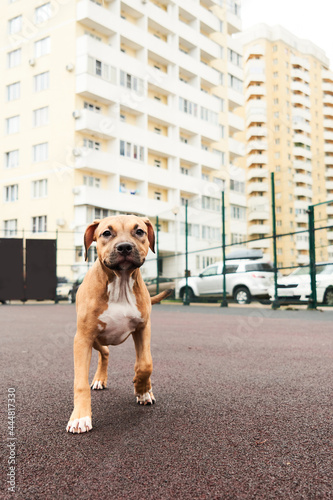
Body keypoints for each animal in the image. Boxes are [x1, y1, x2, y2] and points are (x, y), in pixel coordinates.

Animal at [65, 215, 169, 434]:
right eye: (106, 233)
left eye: (139, 231)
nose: (124, 247)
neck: (120, 284)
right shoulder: (83, 338)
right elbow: (80, 383)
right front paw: (80, 417)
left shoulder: (143, 328)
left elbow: (145, 363)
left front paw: (142, 389)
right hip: (95, 338)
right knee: (105, 352)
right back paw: (99, 379)